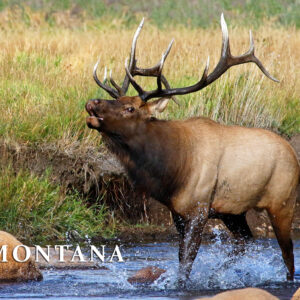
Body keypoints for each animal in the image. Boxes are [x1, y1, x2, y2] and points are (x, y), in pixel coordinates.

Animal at [85, 15, 298, 286]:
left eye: (130, 108)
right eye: (118, 100)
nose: (92, 102)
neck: (171, 172)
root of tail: (292, 151)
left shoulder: (199, 208)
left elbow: (186, 262)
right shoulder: (177, 212)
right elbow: (181, 259)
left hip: (282, 201)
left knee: (287, 253)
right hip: (233, 211)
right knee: (245, 242)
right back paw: (218, 276)